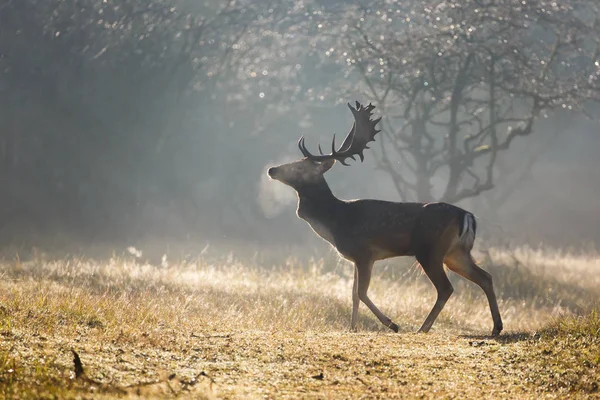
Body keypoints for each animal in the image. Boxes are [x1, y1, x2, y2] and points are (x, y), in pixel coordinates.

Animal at [268, 101, 502, 336]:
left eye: (299, 167)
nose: (272, 169)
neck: (335, 221)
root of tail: (467, 216)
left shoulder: (365, 253)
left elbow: (361, 293)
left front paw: (392, 324)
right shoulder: (355, 258)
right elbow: (353, 294)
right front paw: (353, 328)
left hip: (430, 250)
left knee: (446, 288)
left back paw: (422, 328)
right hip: (456, 252)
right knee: (485, 277)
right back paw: (496, 327)